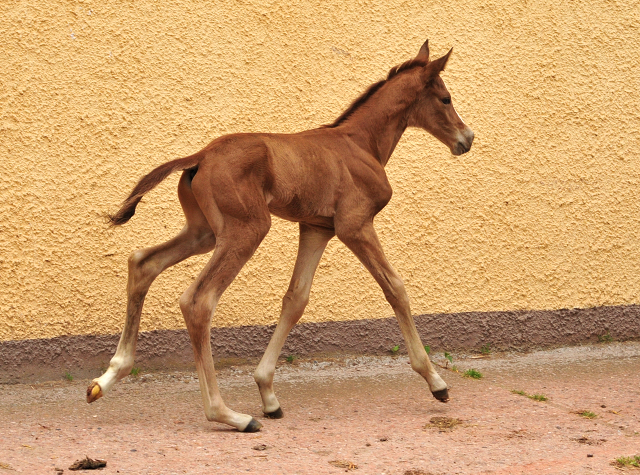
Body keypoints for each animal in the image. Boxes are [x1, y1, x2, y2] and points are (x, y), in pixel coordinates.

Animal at [86, 41, 476, 434]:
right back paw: (228, 415)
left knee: (143, 262)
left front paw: (268, 393)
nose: (467, 138)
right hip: (247, 229)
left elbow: (295, 299)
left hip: (205, 233)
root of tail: (200, 156)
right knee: (199, 300)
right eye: (445, 98)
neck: (360, 143)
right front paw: (436, 382)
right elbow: (394, 287)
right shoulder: (355, 225)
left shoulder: (317, 229)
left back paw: (106, 378)